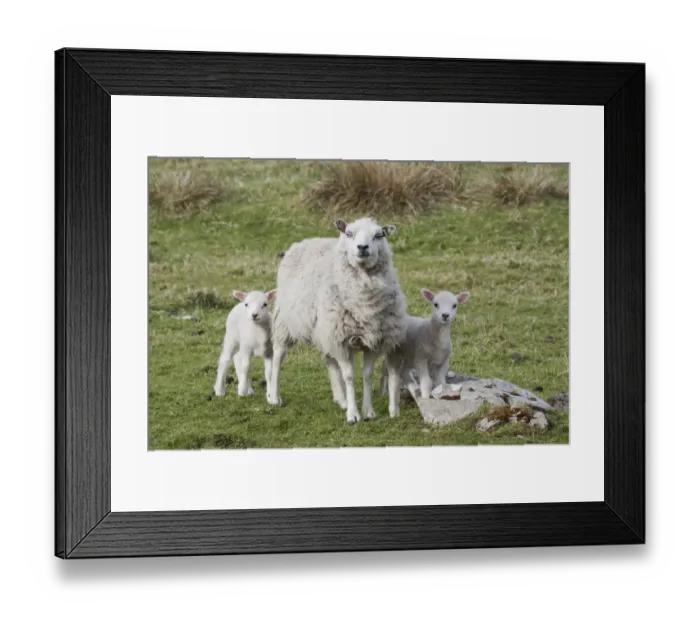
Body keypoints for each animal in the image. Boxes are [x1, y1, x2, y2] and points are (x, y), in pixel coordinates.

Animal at [266, 217, 407, 425]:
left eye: (379, 235)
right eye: (349, 233)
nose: (362, 247)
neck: (364, 303)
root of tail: (305, 241)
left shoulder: (373, 341)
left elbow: (367, 375)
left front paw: (368, 411)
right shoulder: (341, 340)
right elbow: (349, 376)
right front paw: (353, 415)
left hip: (324, 329)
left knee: (329, 360)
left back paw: (341, 398)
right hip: (285, 321)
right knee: (278, 356)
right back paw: (275, 396)